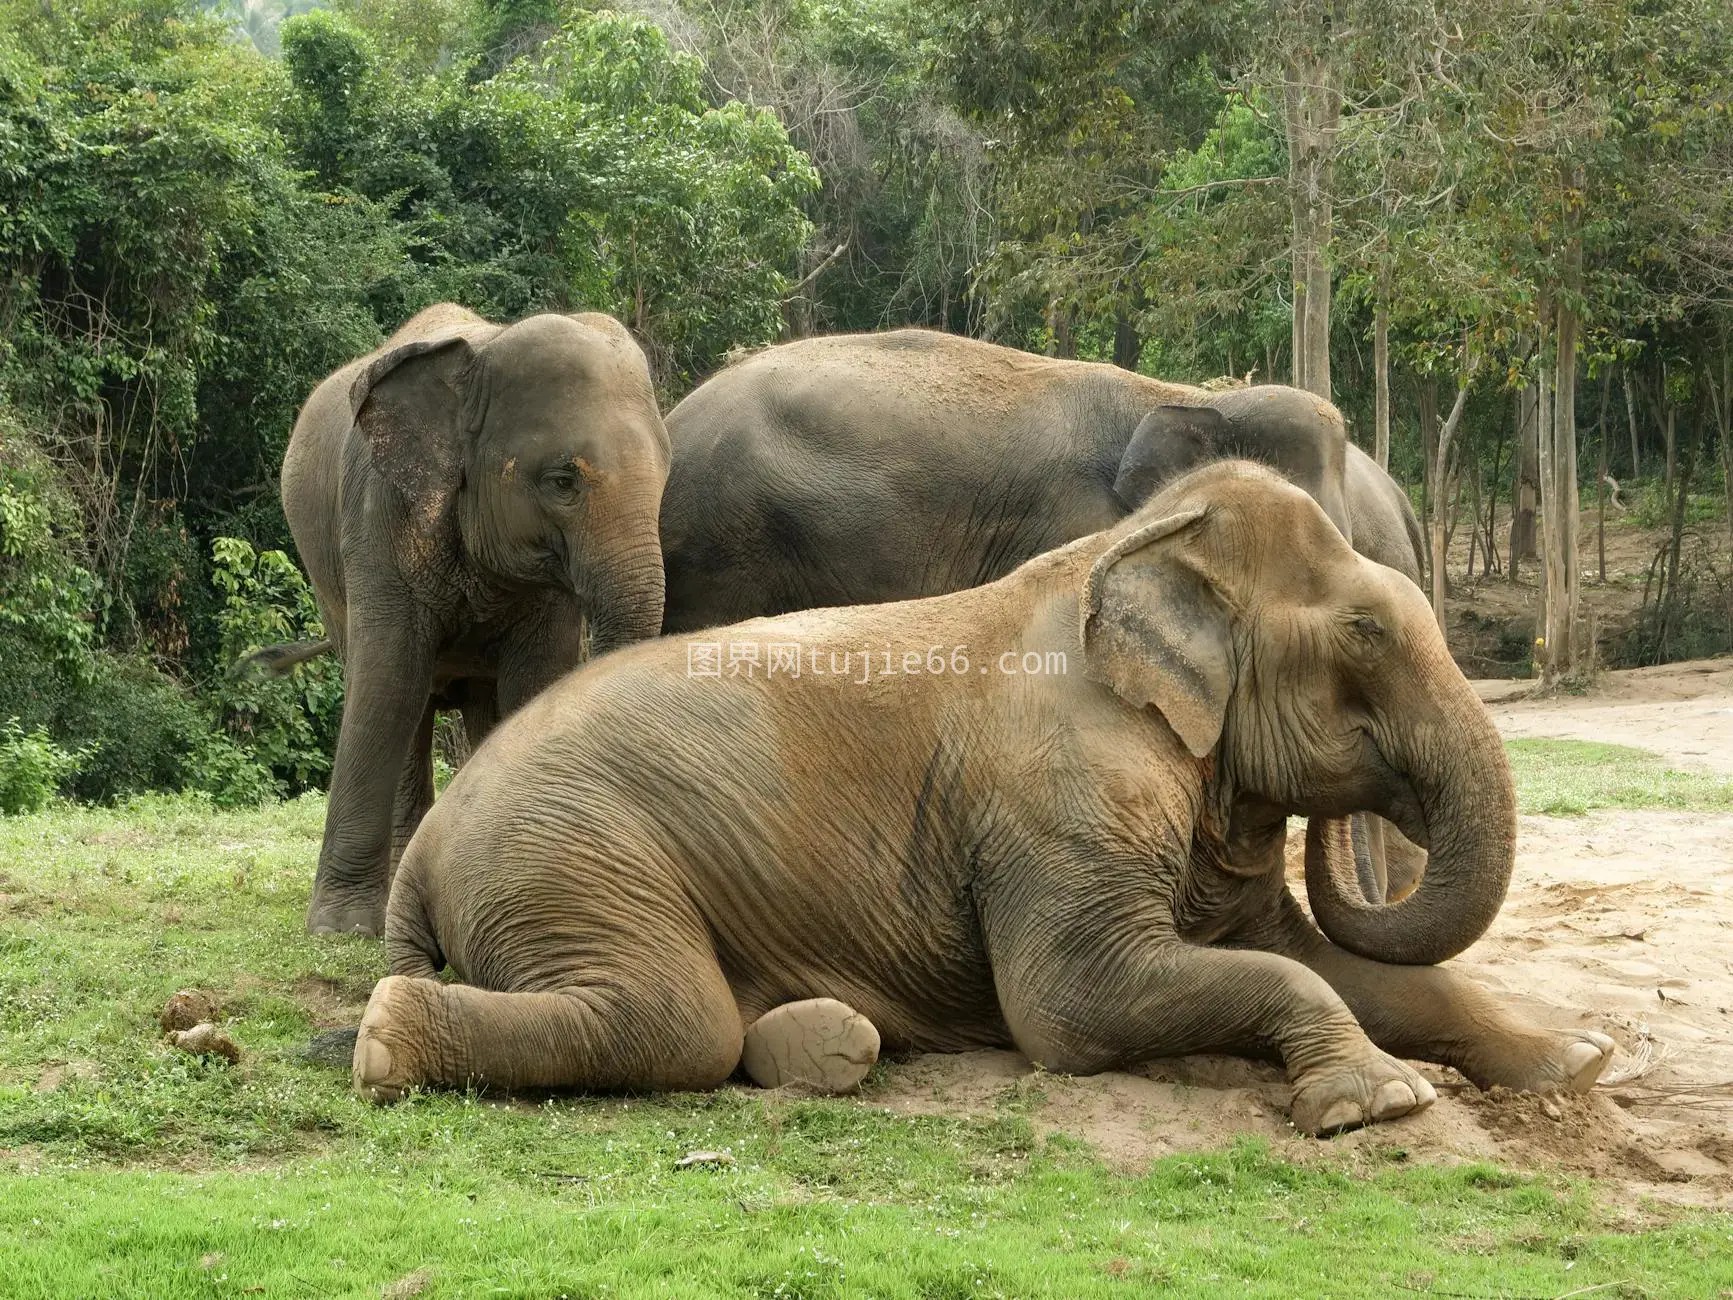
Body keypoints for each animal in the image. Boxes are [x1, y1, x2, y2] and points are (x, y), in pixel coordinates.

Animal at [280, 303, 665, 936]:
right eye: (563, 480)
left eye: (666, 476)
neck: (481, 354)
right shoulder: (379, 515)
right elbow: (386, 684)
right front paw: (340, 929)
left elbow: (534, 683)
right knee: (402, 700)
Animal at [348, 464, 1608, 1137]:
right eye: (1363, 633)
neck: (1127, 548)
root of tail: (435, 839)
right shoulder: (1057, 795)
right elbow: (1075, 1005)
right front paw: (1375, 1103)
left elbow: (1333, 963)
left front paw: (1576, 1059)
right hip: (566, 854)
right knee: (672, 1017)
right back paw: (385, 1039)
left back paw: (829, 1043)